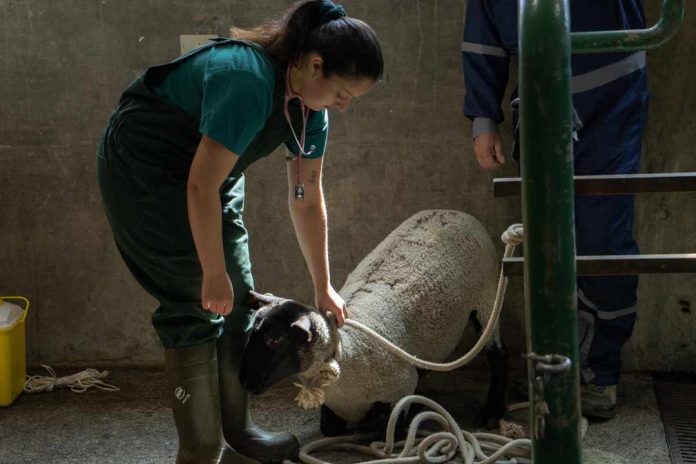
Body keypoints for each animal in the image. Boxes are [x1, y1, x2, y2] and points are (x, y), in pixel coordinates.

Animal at [239, 210, 506, 436]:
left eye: (276, 339)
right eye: (251, 333)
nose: (244, 381)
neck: (349, 352)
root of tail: (455, 212)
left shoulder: (399, 390)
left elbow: (389, 431)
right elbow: (330, 429)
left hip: (488, 298)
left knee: (498, 355)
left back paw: (492, 413)